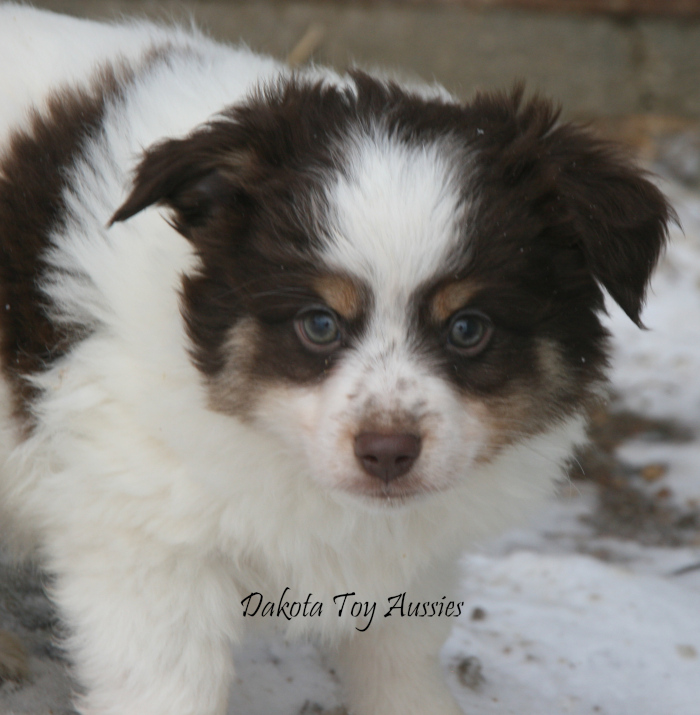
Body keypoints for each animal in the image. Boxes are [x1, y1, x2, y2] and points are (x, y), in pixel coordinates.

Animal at [0, 5, 672, 715]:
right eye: (319, 324)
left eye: (468, 329)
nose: (387, 454)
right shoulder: (141, 538)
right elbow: (167, 686)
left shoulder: (409, 551)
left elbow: (399, 660)